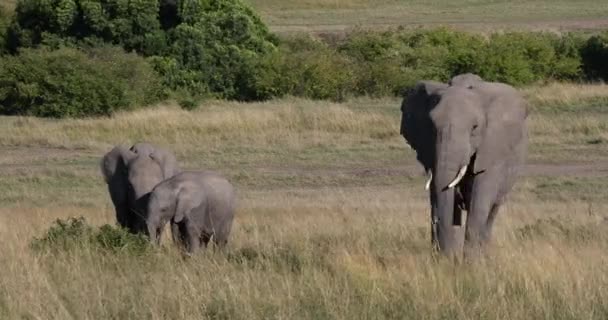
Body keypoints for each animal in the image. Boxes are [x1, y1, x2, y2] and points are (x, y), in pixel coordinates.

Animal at [400, 74, 528, 258]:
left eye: (474, 128)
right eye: (431, 126)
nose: (443, 255)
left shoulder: (492, 149)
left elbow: (480, 200)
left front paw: (471, 262)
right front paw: (446, 259)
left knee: (492, 211)